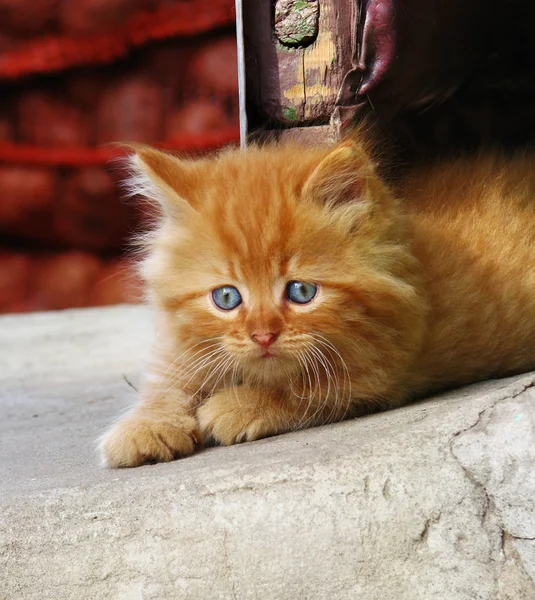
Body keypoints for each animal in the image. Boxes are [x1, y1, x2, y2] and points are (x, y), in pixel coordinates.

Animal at [99, 138, 535, 466]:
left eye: (301, 292)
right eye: (226, 297)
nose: (263, 336)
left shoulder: (381, 371)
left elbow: (304, 388)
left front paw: (238, 406)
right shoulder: (182, 347)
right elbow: (167, 383)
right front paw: (145, 427)